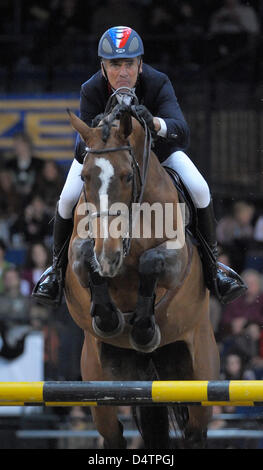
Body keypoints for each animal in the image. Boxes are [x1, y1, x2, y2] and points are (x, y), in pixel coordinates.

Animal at [64, 98, 221, 448]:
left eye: (126, 176)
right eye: (84, 177)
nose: (108, 256)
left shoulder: (177, 259)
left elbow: (151, 262)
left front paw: (144, 328)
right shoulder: (79, 256)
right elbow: (85, 259)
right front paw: (109, 317)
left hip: (198, 369)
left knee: (194, 432)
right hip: (101, 377)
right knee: (118, 433)